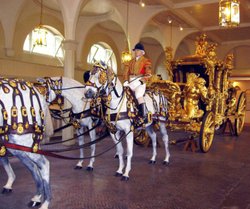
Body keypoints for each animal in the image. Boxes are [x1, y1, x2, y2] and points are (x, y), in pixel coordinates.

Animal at [0, 77, 54, 209]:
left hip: (23, 141)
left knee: (43, 164)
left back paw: (45, 202)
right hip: (16, 143)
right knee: (33, 166)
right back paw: (36, 197)